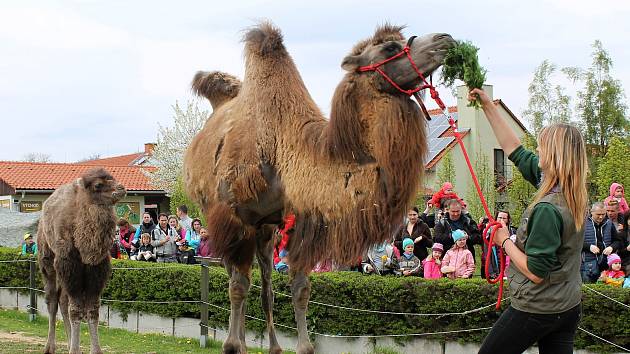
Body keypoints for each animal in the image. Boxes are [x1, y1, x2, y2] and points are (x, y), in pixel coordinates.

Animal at [37, 167, 127, 352]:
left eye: (112, 178)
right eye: (98, 185)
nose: (121, 188)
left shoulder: (96, 269)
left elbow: (92, 310)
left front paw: (95, 350)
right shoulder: (69, 265)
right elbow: (76, 310)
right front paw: (75, 350)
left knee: (63, 301)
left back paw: (68, 342)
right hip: (48, 263)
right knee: (52, 301)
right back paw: (50, 347)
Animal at [185, 22, 456, 354]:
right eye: (389, 48)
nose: (445, 39)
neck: (284, 153)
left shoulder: (303, 221)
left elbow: (300, 289)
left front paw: (302, 347)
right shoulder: (237, 217)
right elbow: (237, 286)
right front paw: (232, 346)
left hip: (266, 228)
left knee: (266, 286)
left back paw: (272, 346)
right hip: (218, 215)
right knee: (238, 279)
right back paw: (240, 342)